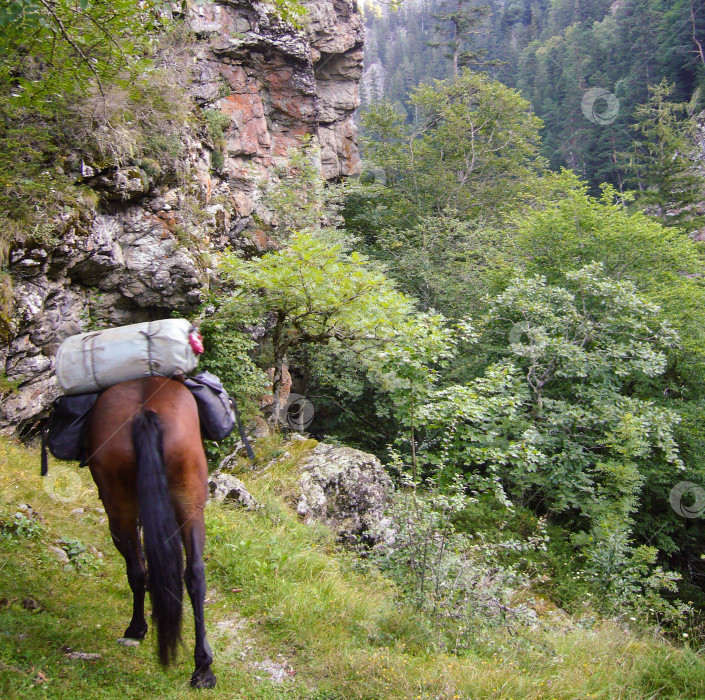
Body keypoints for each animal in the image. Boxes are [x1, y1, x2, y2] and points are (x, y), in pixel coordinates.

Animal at [84, 378, 214, 688]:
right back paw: (202, 667)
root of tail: (146, 412)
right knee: (194, 573)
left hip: (117, 506)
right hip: (190, 499)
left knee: (137, 569)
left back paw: (137, 628)